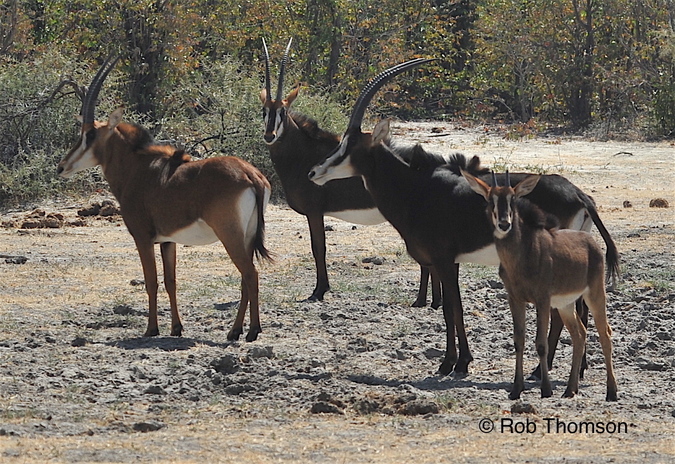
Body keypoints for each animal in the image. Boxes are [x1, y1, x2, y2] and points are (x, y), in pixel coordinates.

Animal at [56, 57, 272, 340]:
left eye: (89, 135)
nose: (61, 167)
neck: (137, 168)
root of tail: (251, 175)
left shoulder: (142, 237)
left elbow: (151, 281)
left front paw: (151, 329)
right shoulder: (168, 241)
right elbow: (171, 281)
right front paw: (176, 328)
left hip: (230, 234)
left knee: (250, 274)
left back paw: (252, 331)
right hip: (246, 236)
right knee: (245, 278)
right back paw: (234, 331)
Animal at [260, 39, 444, 304]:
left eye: (282, 112)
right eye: (263, 111)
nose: (269, 136)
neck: (302, 153)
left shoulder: (314, 212)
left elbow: (319, 248)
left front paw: (319, 290)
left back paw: (425, 301)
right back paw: (426, 301)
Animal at [308, 58, 620, 376]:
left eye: (348, 146)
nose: (313, 172)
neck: (415, 188)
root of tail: (580, 195)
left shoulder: (443, 260)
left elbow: (450, 308)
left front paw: (450, 362)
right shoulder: (452, 262)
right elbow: (455, 307)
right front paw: (462, 361)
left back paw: (538, 371)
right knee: (578, 307)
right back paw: (576, 369)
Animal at [464, 170, 616, 402]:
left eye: (513, 199)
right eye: (491, 200)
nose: (504, 224)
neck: (522, 254)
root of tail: (591, 242)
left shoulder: (542, 300)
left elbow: (541, 343)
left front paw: (546, 388)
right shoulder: (515, 299)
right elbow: (519, 340)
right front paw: (516, 389)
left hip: (595, 294)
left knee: (605, 334)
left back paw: (611, 392)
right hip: (565, 304)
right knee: (579, 334)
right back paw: (570, 390)